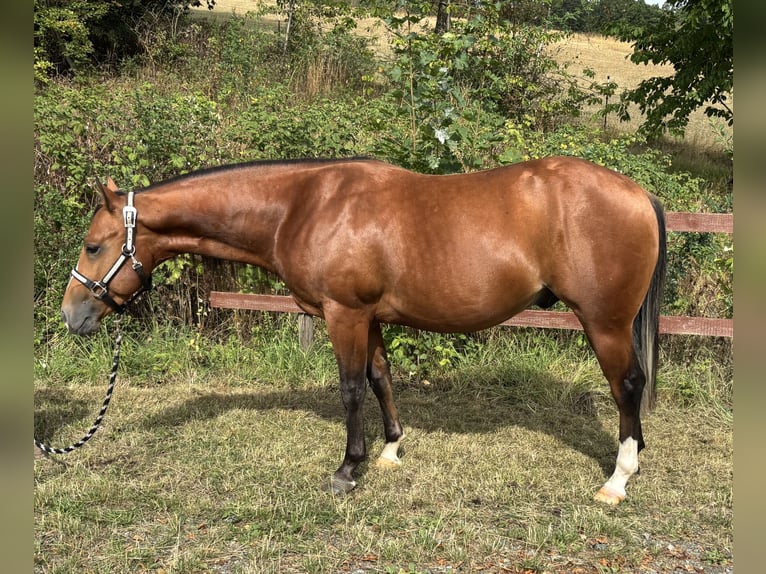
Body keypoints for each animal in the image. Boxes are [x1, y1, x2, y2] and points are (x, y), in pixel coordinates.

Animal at [61, 156, 666, 505]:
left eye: (93, 246)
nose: (72, 315)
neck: (301, 205)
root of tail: (639, 193)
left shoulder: (343, 313)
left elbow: (351, 388)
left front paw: (347, 470)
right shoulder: (369, 317)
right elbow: (379, 379)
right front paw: (390, 450)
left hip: (605, 323)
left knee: (628, 385)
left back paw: (618, 479)